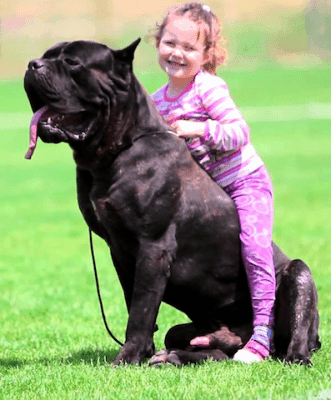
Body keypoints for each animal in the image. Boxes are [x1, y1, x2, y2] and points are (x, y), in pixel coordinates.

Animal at [24, 39, 322, 364]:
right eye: (47, 56)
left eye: (72, 62)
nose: (33, 65)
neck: (117, 150)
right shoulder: (120, 251)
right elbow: (135, 303)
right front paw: (142, 353)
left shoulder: (153, 246)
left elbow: (141, 309)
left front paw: (127, 357)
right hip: (195, 331)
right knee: (209, 349)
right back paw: (174, 356)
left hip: (298, 275)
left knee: (295, 333)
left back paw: (287, 354)